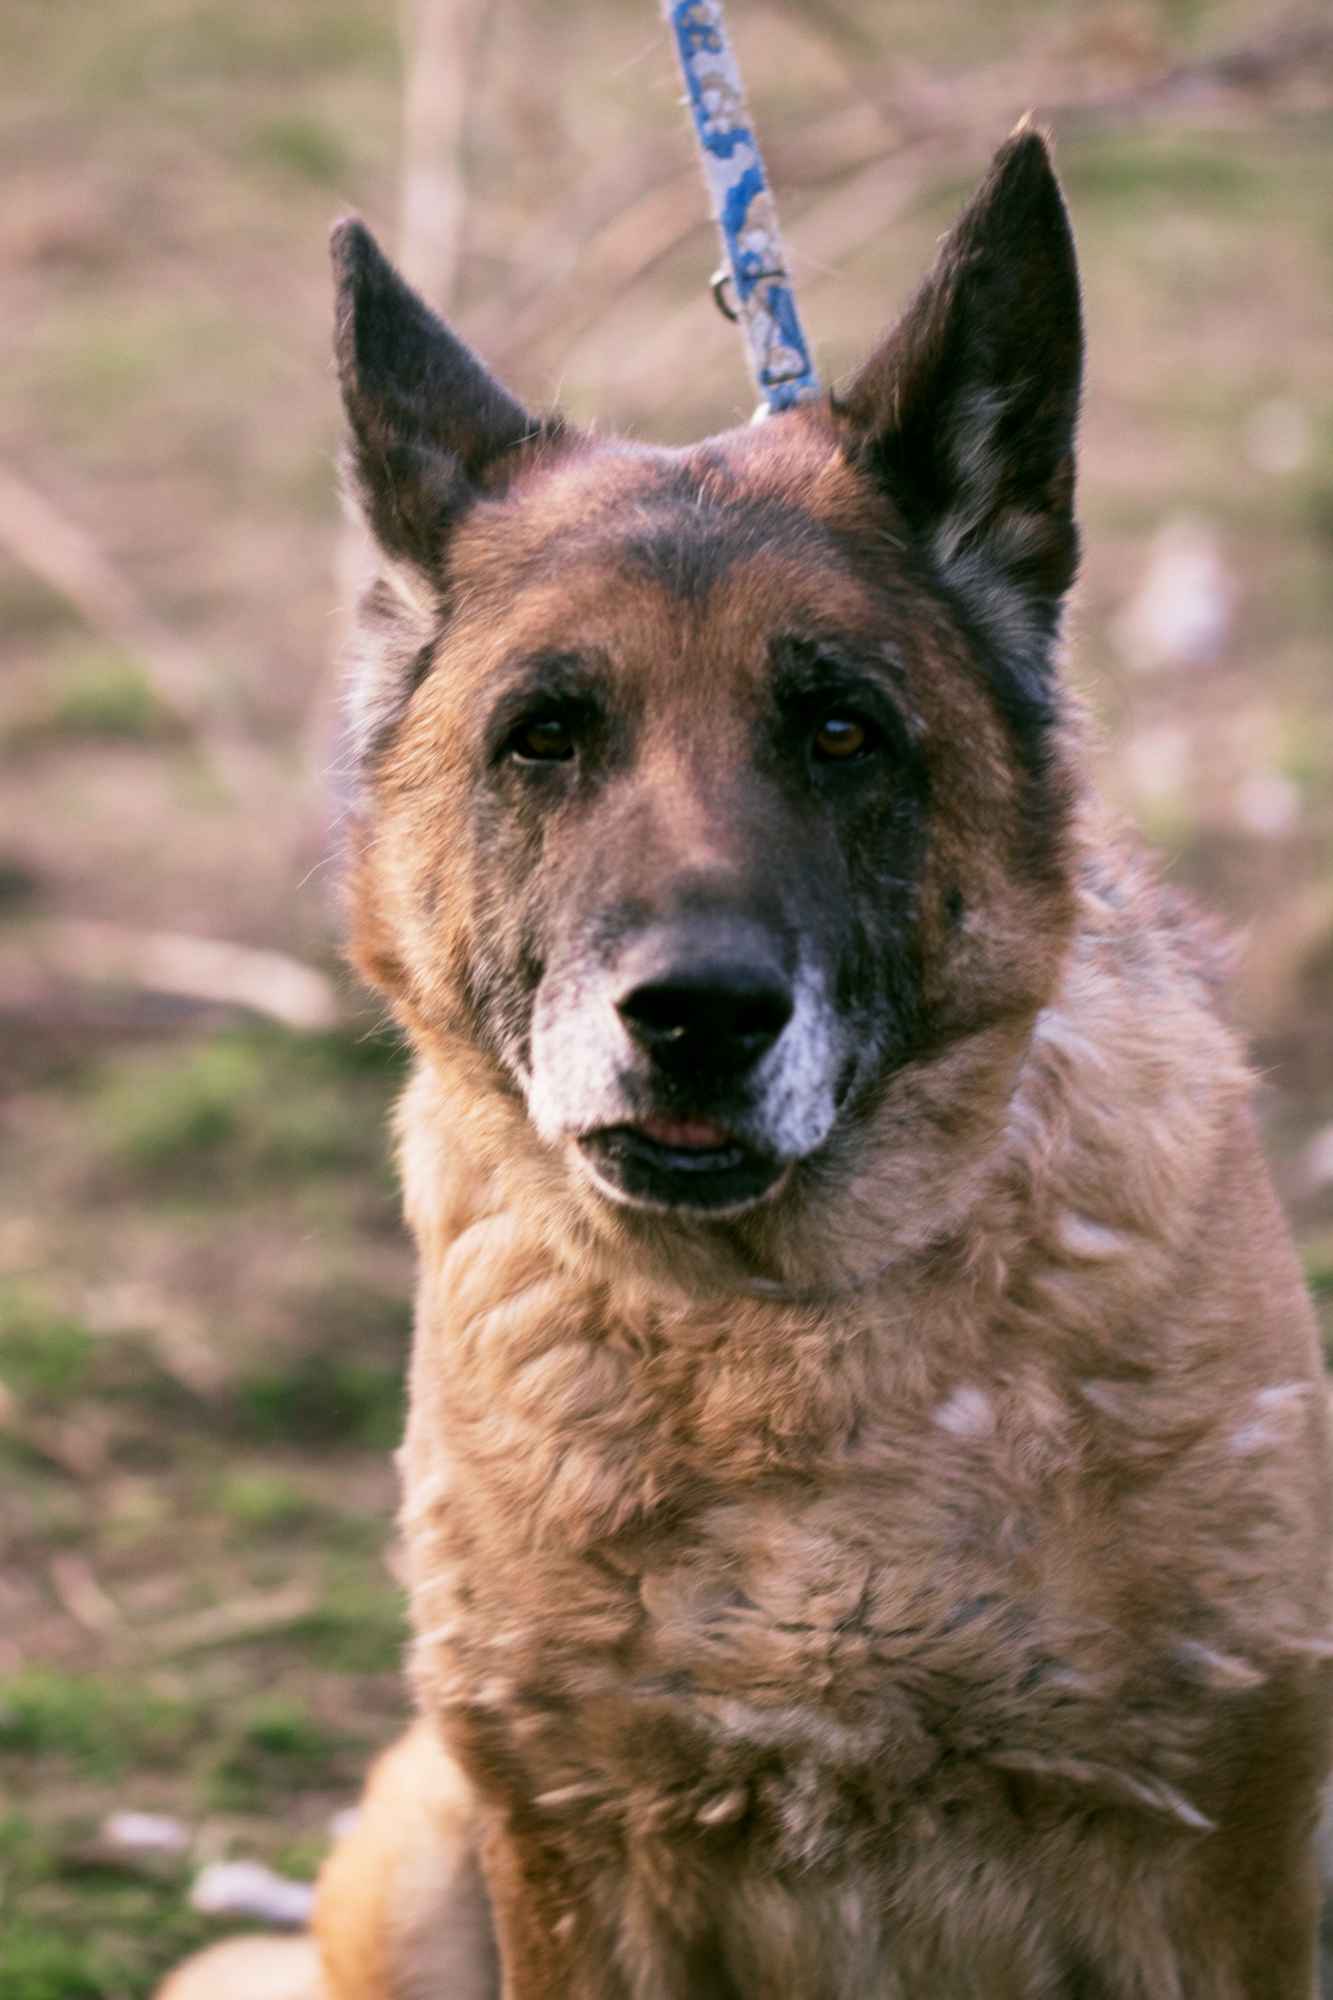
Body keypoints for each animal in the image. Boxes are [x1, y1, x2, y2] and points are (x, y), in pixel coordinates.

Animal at [161, 133, 1320, 1992]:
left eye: (840, 729)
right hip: (415, 1854)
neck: (774, 1333)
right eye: (543, 737)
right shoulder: (572, 1856)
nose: (696, 1016)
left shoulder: (1220, 1863)